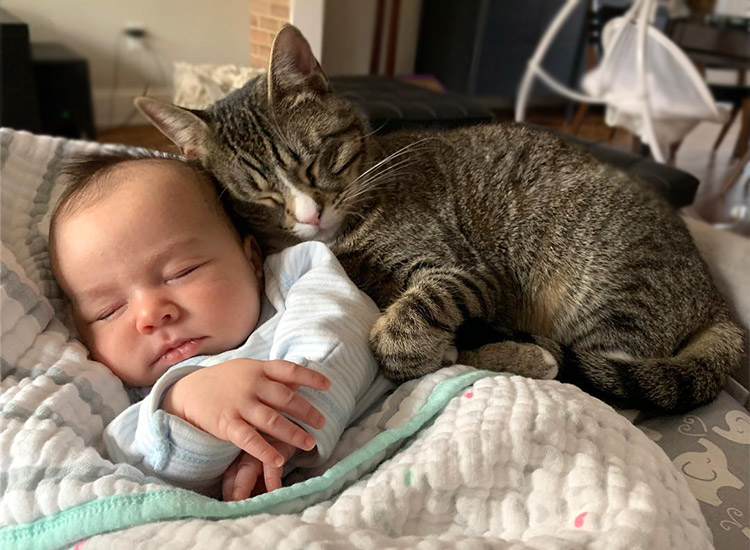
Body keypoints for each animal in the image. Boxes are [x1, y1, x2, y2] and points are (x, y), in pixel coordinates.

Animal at [137, 25, 748, 414]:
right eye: (258, 196)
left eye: (315, 161)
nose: (310, 215)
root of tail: (715, 298)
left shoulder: (465, 271)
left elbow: (408, 326)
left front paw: (430, 346)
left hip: (609, 290)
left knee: (612, 386)